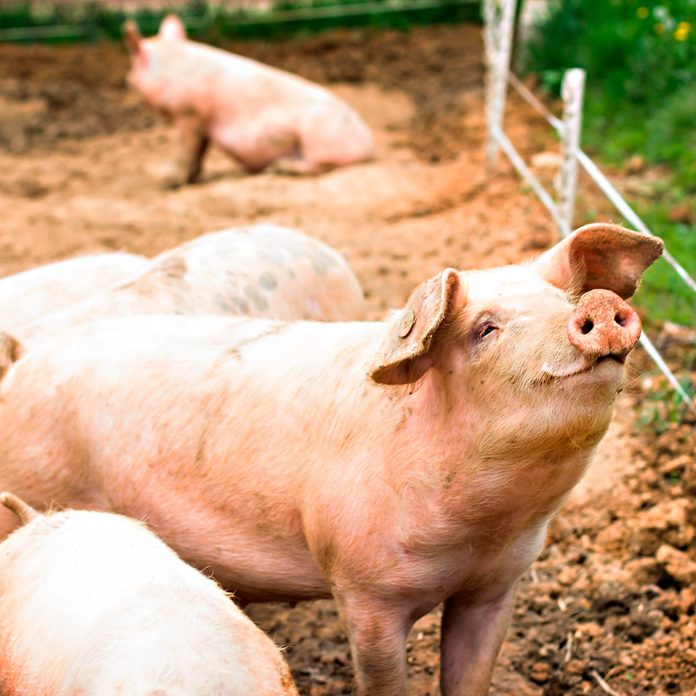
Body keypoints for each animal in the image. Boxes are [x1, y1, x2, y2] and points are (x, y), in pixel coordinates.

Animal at [124, 15, 375, 186]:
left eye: (132, 69)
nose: (126, 79)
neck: (170, 69)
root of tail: (369, 148)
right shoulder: (202, 122)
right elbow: (198, 153)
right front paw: (193, 178)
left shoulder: (190, 113)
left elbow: (185, 151)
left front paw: (167, 183)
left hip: (318, 137)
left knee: (320, 166)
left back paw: (279, 169)